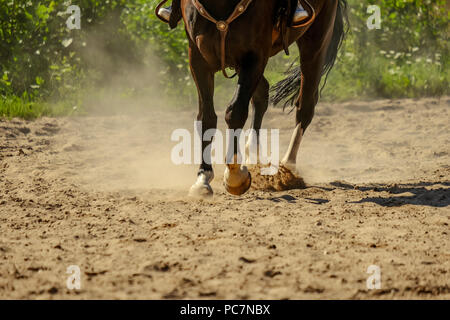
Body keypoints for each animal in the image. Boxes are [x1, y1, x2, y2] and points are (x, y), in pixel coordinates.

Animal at [169, 0, 348, 196]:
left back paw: (288, 166)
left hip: (316, 42)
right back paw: (252, 154)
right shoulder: (198, 58)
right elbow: (206, 118)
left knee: (305, 105)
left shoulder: (254, 57)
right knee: (263, 92)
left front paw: (234, 176)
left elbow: (235, 112)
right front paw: (203, 178)